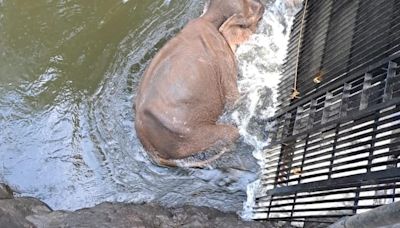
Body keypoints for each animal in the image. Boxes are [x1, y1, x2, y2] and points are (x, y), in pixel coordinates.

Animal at [135, 0, 266, 167]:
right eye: (254, 12)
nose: (263, 6)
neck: (208, 18)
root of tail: (149, 147)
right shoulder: (222, 58)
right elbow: (233, 101)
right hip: (190, 136)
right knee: (232, 132)